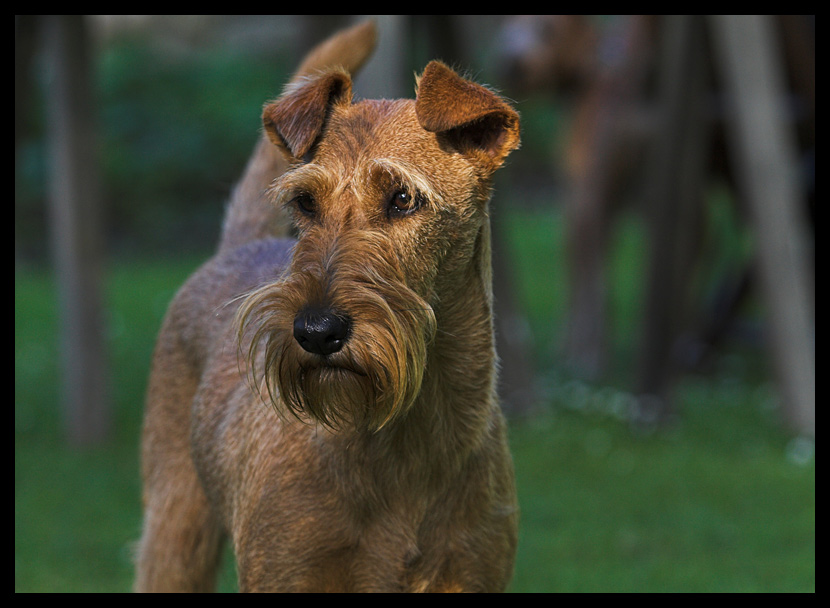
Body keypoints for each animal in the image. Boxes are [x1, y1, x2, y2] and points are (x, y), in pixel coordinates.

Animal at [136, 21, 520, 592]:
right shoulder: (286, 572)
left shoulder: (471, 569)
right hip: (175, 526)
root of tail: (236, 246)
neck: (408, 438)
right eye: (305, 203)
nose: (316, 331)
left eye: (403, 198)